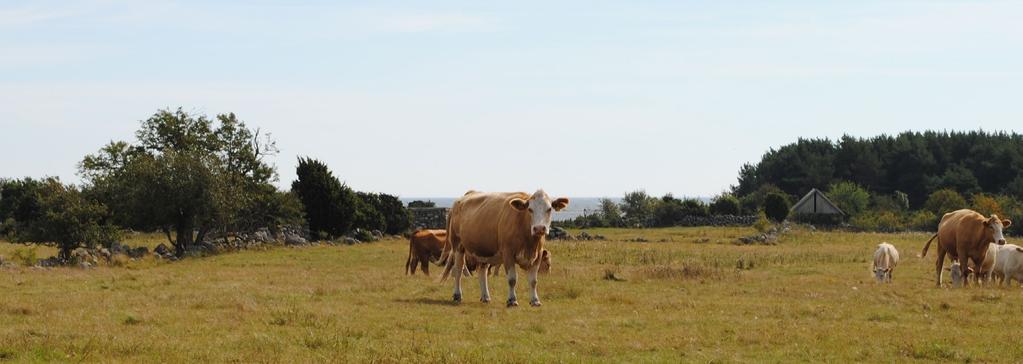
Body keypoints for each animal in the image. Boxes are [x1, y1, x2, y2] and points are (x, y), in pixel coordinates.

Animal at [439, 190, 568, 306]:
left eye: (549, 209)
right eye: (530, 209)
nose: (539, 228)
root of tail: (460, 200)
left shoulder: (537, 255)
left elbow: (533, 281)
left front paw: (535, 300)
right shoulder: (508, 253)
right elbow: (512, 279)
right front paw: (512, 300)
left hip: (483, 249)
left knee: (482, 271)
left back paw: (485, 297)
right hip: (458, 246)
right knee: (458, 270)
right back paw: (457, 295)